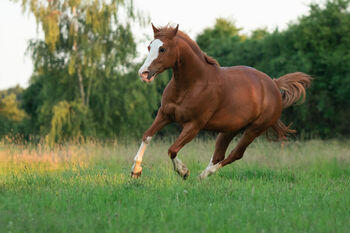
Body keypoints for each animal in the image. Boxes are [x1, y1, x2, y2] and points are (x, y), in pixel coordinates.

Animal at [131, 23, 312, 179]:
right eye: (149, 47)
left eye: (163, 49)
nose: (143, 73)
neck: (192, 84)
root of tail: (274, 85)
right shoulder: (164, 115)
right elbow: (147, 136)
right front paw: (136, 171)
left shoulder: (193, 125)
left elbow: (172, 150)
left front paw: (183, 171)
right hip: (229, 130)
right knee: (219, 154)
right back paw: (202, 176)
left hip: (254, 130)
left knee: (235, 154)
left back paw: (203, 175)